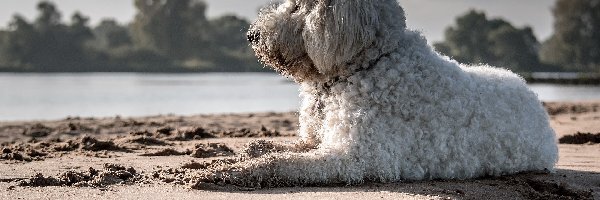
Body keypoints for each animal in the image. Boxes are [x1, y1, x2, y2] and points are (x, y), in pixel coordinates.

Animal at [199, 0, 560, 188]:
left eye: (299, 6)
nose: (252, 35)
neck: (365, 63)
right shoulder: (318, 139)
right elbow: (277, 148)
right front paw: (242, 151)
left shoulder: (357, 158)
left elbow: (280, 163)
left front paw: (223, 172)